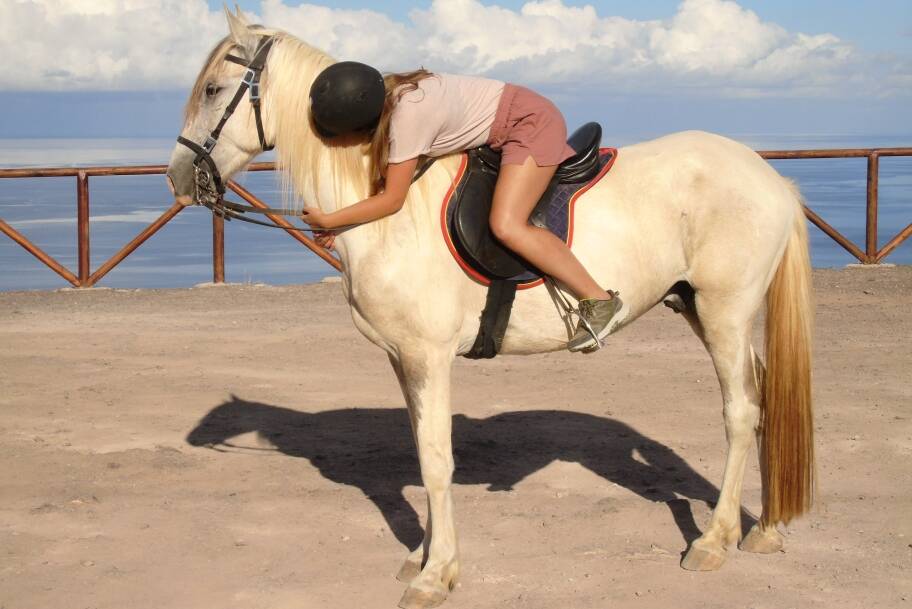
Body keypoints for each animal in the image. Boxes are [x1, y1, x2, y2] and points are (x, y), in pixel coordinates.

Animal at [166, 10, 814, 609]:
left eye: (214, 90)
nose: (178, 176)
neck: (389, 213)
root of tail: (768, 177)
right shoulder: (403, 359)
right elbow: (422, 451)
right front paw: (423, 555)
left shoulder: (428, 357)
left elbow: (436, 461)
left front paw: (436, 575)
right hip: (701, 310)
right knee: (762, 400)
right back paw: (764, 528)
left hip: (725, 311)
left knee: (741, 411)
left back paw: (714, 540)